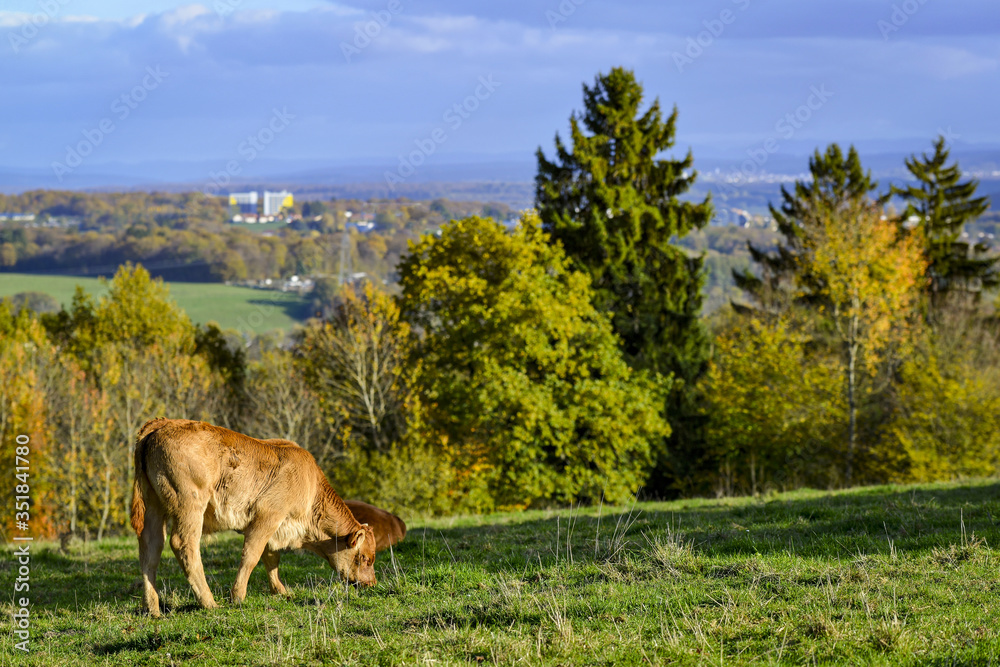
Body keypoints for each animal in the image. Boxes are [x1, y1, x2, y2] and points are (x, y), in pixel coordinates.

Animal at [130, 418, 376, 617]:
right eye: (365, 558)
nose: (372, 584)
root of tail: (163, 423)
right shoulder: (268, 516)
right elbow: (252, 555)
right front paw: (237, 596)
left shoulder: (276, 527)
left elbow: (271, 558)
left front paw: (280, 591)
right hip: (189, 504)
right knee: (184, 545)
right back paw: (209, 603)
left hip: (154, 505)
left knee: (151, 549)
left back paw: (152, 609)